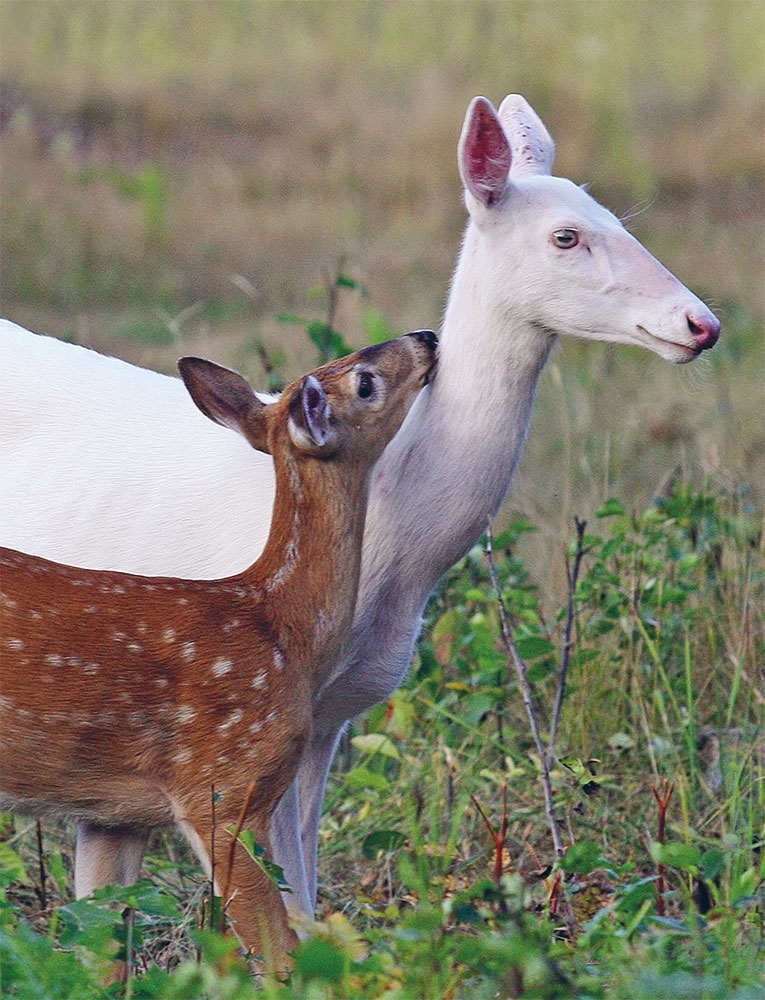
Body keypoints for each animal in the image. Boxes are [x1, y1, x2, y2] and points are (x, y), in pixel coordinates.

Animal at [0, 330, 436, 968]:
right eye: (365, 382)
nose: (426, 339)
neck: (282, 627)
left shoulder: (114, 814)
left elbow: (106, 954)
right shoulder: (222, 786)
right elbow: (281, 953)